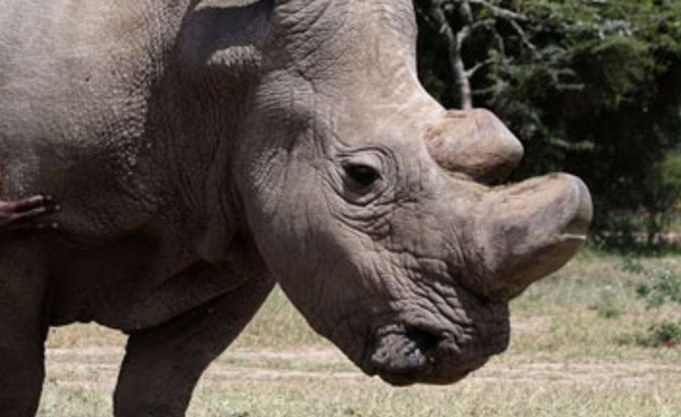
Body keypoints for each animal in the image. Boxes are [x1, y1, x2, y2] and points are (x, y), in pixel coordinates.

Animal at [0, 0, 592, 415]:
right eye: (360, 177)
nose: (467, 348)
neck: (227, 68)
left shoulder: (243, 233)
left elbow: (160, 387)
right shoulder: (21, 237)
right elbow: (19, 385)